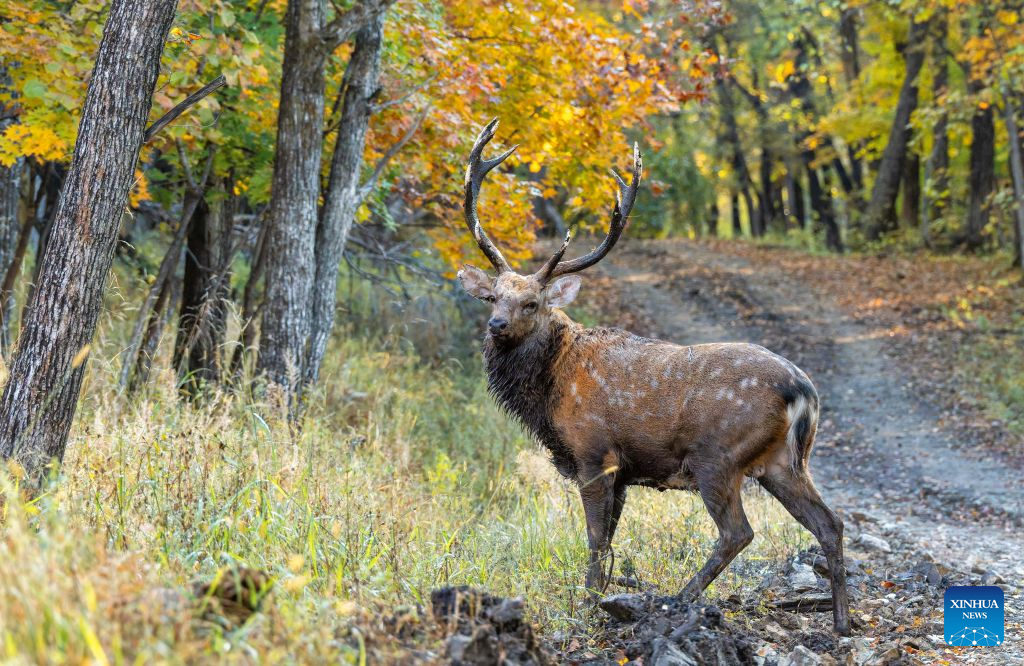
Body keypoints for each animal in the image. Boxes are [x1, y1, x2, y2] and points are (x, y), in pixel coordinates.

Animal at [455, 119, 850, 635]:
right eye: (493, 297)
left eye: (532, 303)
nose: (496, 325)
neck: (550, 394)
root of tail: (804, 391)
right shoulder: (622, 472)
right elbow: (608, 539)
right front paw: (600, 597)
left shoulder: (594, 453)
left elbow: (595, 539)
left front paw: (586, 605)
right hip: (783, 462)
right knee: (830, 523)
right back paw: (842, 622)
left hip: (717, 457)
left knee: (738, 532)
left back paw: (676, 600)